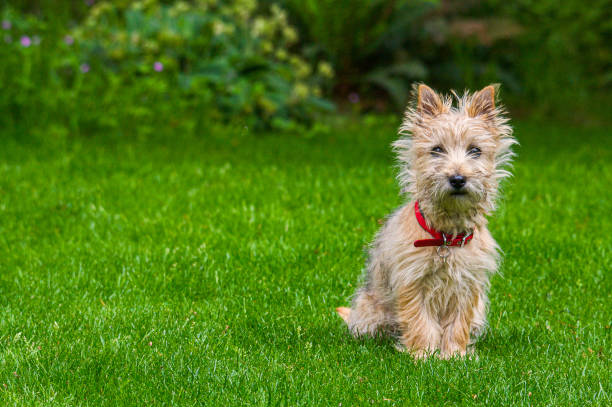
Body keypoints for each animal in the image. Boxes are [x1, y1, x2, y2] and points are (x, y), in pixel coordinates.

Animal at [334, 84, 516, 358]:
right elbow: (419, 321)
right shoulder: (412, 282)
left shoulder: (467, 285)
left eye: (475, 150)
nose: (458, 178)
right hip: (370, 313)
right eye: (437, 150)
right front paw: (424, 355)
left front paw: (454, 355)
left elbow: (458, 325)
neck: (446, 237)